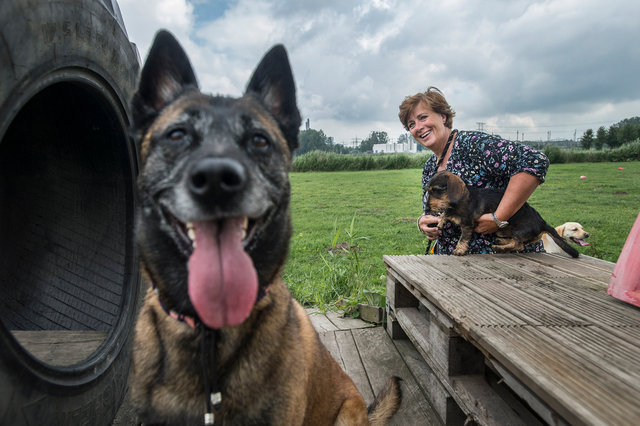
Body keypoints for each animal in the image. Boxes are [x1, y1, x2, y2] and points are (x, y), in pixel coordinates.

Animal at [424, 169, 580, 256]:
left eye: (436, 190)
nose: (427, 209)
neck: (458, 202)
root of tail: (542, 222)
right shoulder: (450, 212)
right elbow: (445, 214)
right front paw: (440, 222)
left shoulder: (468, 225)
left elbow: (463, 239)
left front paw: (459, 250)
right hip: (505, 229)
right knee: (516, 242)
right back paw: (500, 242)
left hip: (520, 229)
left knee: (519, 245)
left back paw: (499, 248)